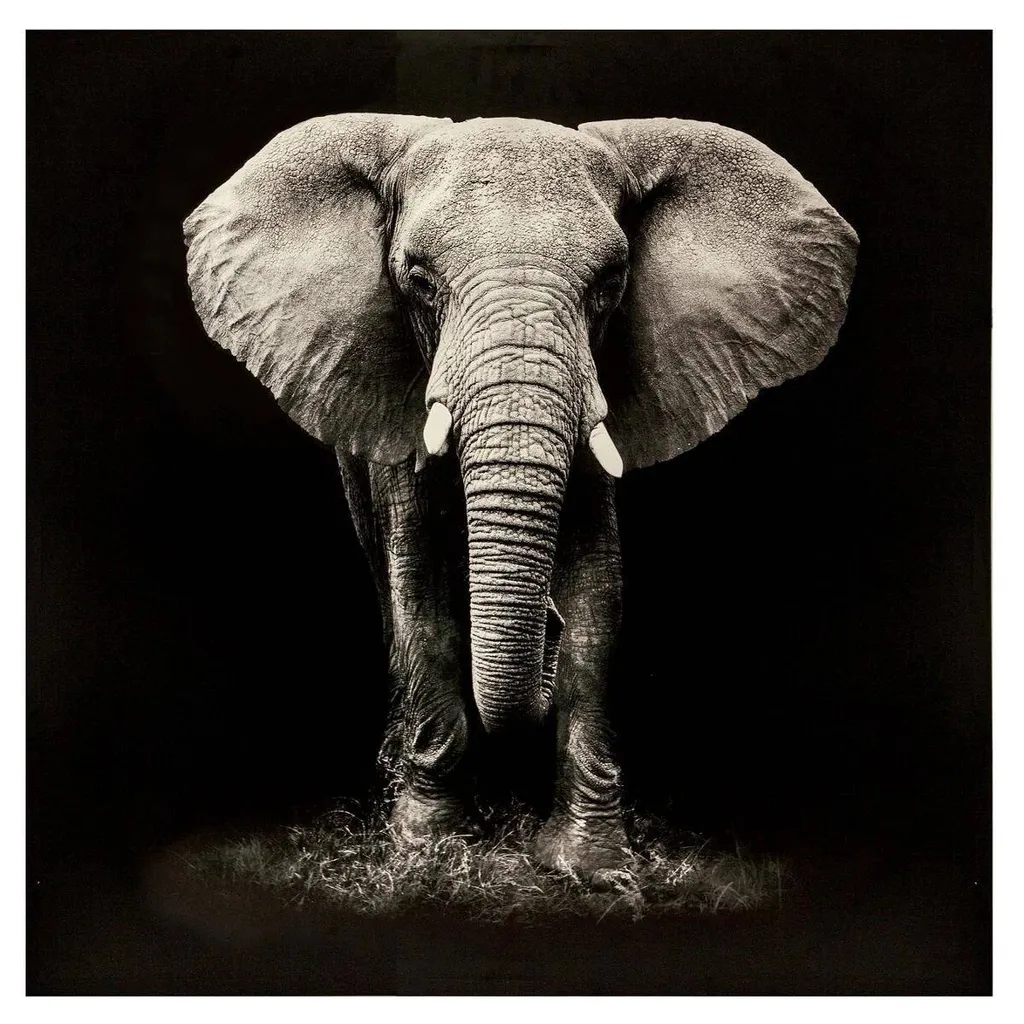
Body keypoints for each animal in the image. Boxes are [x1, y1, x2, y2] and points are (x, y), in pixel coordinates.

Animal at [184, 113, 857, 883]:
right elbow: (421, 591)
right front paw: (430, 849)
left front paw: (591, 867)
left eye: (610, 283)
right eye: (418, 280)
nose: (546, 631)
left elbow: (599, 595)